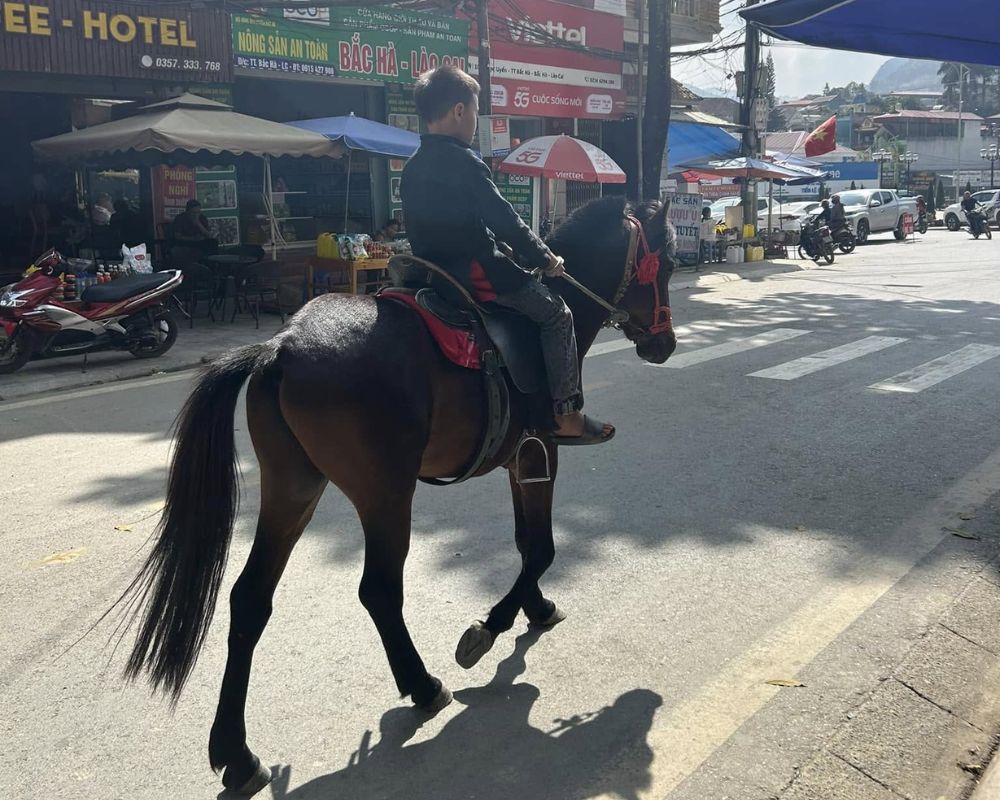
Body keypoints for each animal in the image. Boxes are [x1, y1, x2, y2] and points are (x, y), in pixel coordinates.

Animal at [121, 195, 676, 792]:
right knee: (380, 590)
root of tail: (279, 348)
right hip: (385, 495)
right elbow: (543, 548)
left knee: (250, 598)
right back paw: (423, 685)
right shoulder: (543, 450)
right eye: (665, 266)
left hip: (293, 488)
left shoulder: (519, 458)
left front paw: (536, 606)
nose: (665, 344)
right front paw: (491, 626)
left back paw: (237, 753)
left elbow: (528, 543)